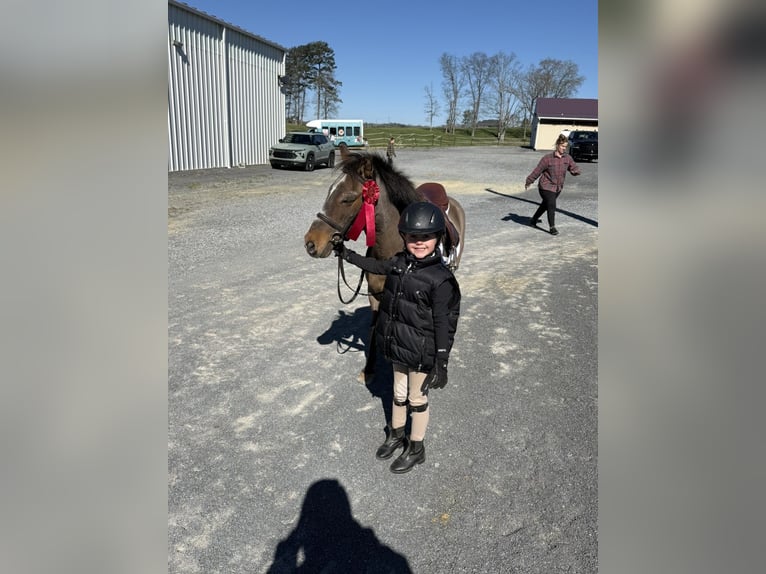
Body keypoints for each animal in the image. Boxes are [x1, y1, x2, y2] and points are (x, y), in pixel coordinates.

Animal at [304, 147, 466, 383]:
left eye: (347, 199)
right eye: (329, 192)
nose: (311, 243)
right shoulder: (375, 295)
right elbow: (373, 328)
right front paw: (369, 369)